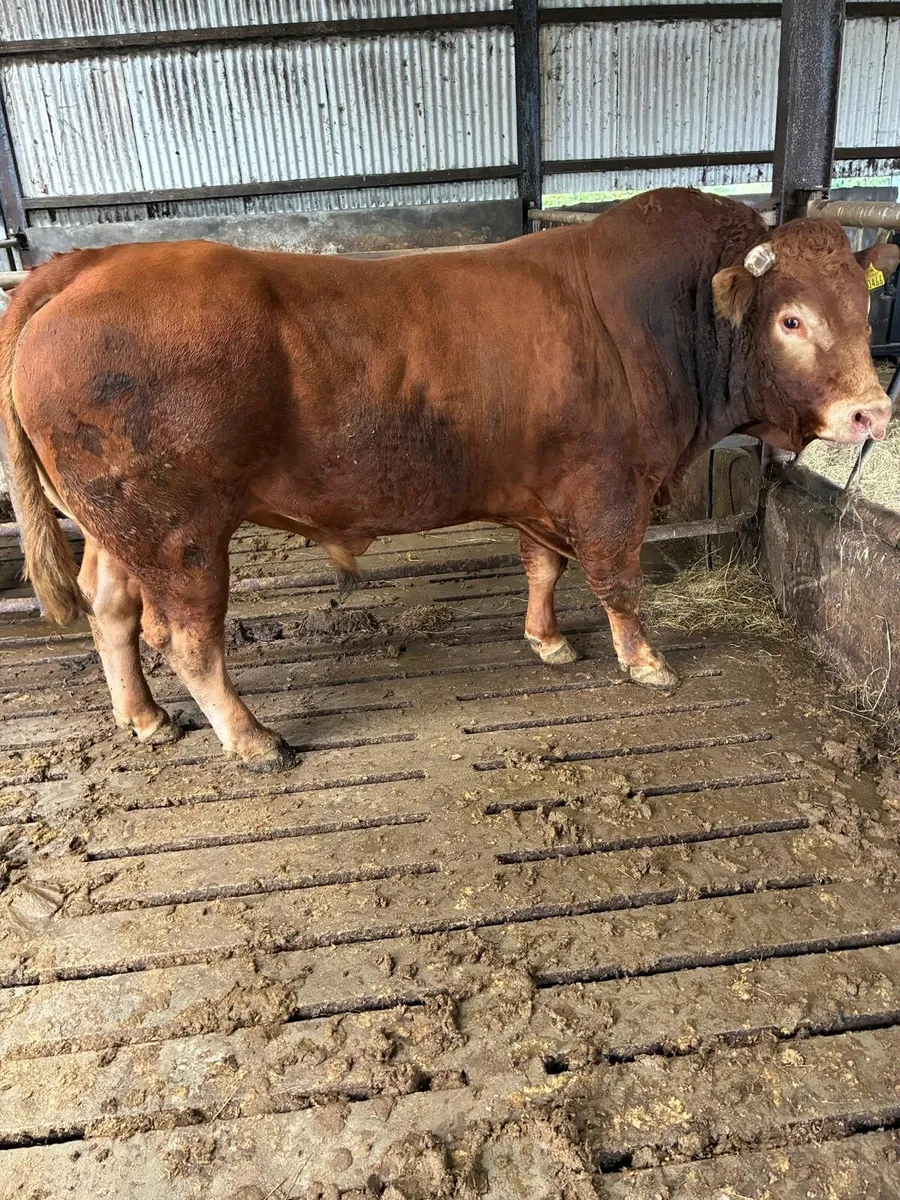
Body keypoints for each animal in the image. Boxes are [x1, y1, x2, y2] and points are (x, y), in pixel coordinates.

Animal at [1, 188, 896, 770]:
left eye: (862, 310)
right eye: (792, 319)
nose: (870, 413)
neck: (666, 319)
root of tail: (85, 267)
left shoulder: (542, 486)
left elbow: (545, 566)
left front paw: (547, 640)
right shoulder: (612, 485)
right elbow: (618, 578)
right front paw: (644, 661)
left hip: (119, 523)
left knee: (111, 609)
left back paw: (146, 719)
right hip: (179, 531)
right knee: (187, 637)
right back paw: (253, 740)